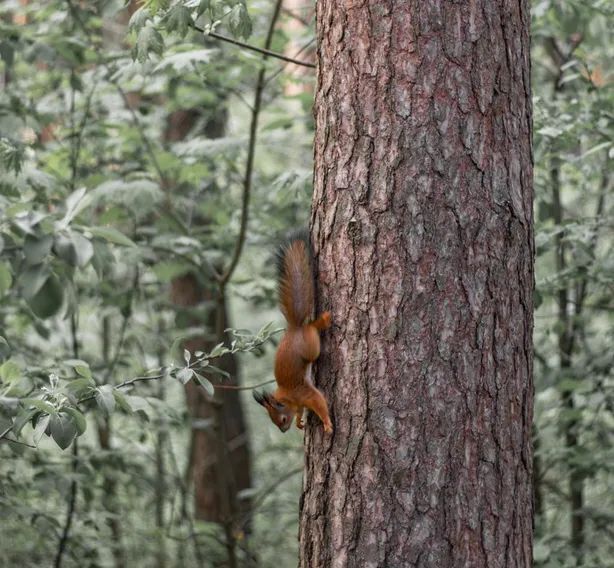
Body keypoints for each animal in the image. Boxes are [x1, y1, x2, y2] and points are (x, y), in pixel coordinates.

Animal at [254, 235, 334, 434]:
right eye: (274, 421)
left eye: (282, 419)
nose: (283, 431)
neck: (288, 397)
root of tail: (294, 329)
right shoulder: (300, 401)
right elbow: (300, 410)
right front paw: (299, 422)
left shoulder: (305, 393)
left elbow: (318, 402)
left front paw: (327, 423)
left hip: (310, 346)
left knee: (312, 328)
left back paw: (323, 320)